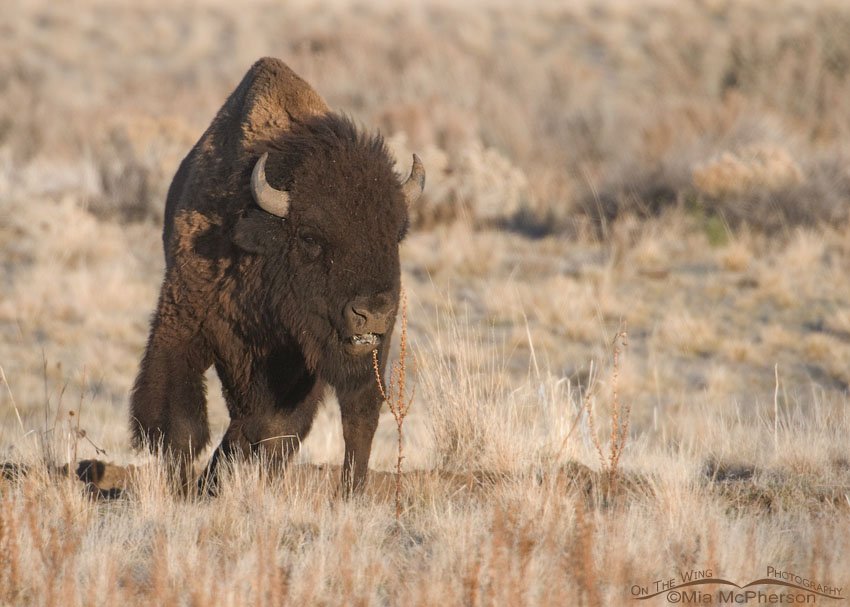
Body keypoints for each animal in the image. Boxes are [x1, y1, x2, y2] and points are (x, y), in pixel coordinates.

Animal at [129, 57, 425, 495]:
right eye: (310, 237)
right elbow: (180, 426)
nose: (372, 314)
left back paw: (349, 492)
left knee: (351, 420)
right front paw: (184, 493)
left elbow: (284, 429)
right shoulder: (182, 327)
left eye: (396, 234)